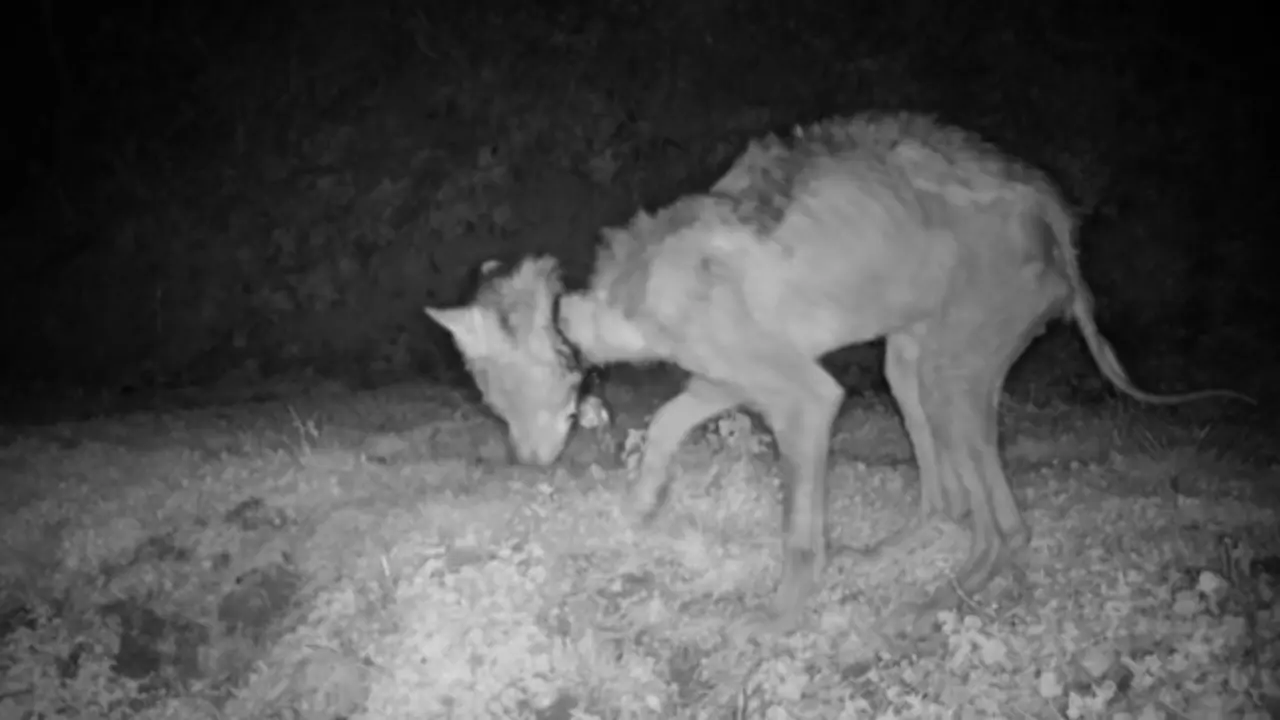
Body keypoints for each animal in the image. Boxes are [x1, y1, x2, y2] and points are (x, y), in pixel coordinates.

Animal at [426, 112, 1251, 625]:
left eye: (492, 389)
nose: (525, 463)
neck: (629, 292)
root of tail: (1055, 213)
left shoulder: (805, 396)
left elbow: (796, 531)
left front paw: (780, 619)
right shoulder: (735, 380)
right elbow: (663, 424)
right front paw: (644, 507)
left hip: (952, 370)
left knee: (1007, 525)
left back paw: (952, 596)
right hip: (908, 363)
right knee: (950, 499)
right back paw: (906, 555)